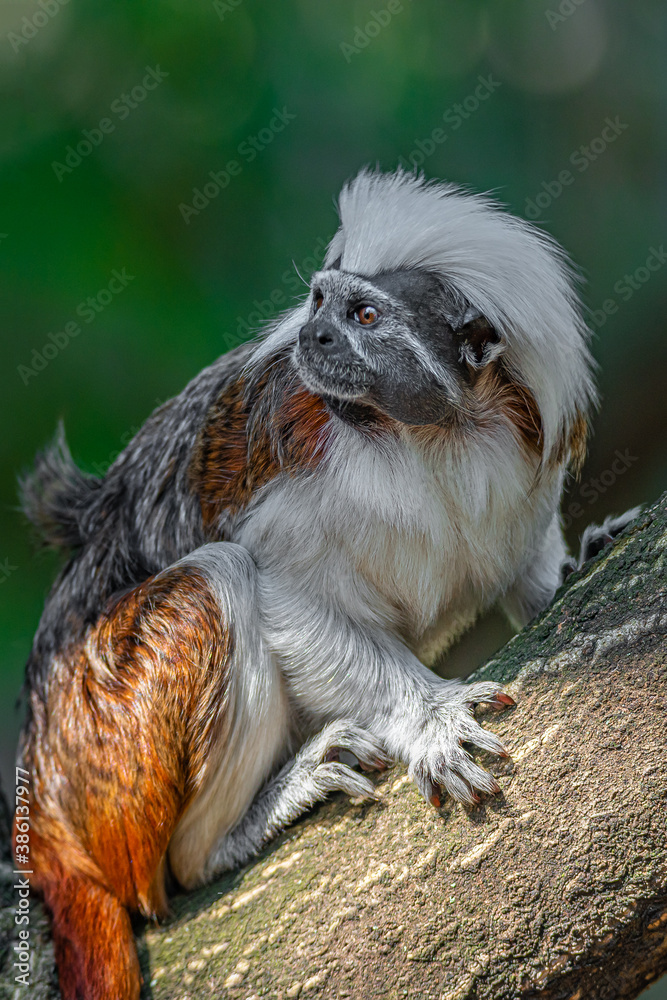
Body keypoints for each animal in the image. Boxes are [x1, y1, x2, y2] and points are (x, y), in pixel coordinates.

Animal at [14, 168, 636, 1000]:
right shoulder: (293, 464)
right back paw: (241, 826)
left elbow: (524, 555)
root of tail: (45, 798)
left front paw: (577, 562)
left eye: (362, 315)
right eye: (318, 304)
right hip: (105, 752)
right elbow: (286, 592)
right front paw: (428, 717)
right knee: (215, 583)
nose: (313, 339)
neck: (430, 433)